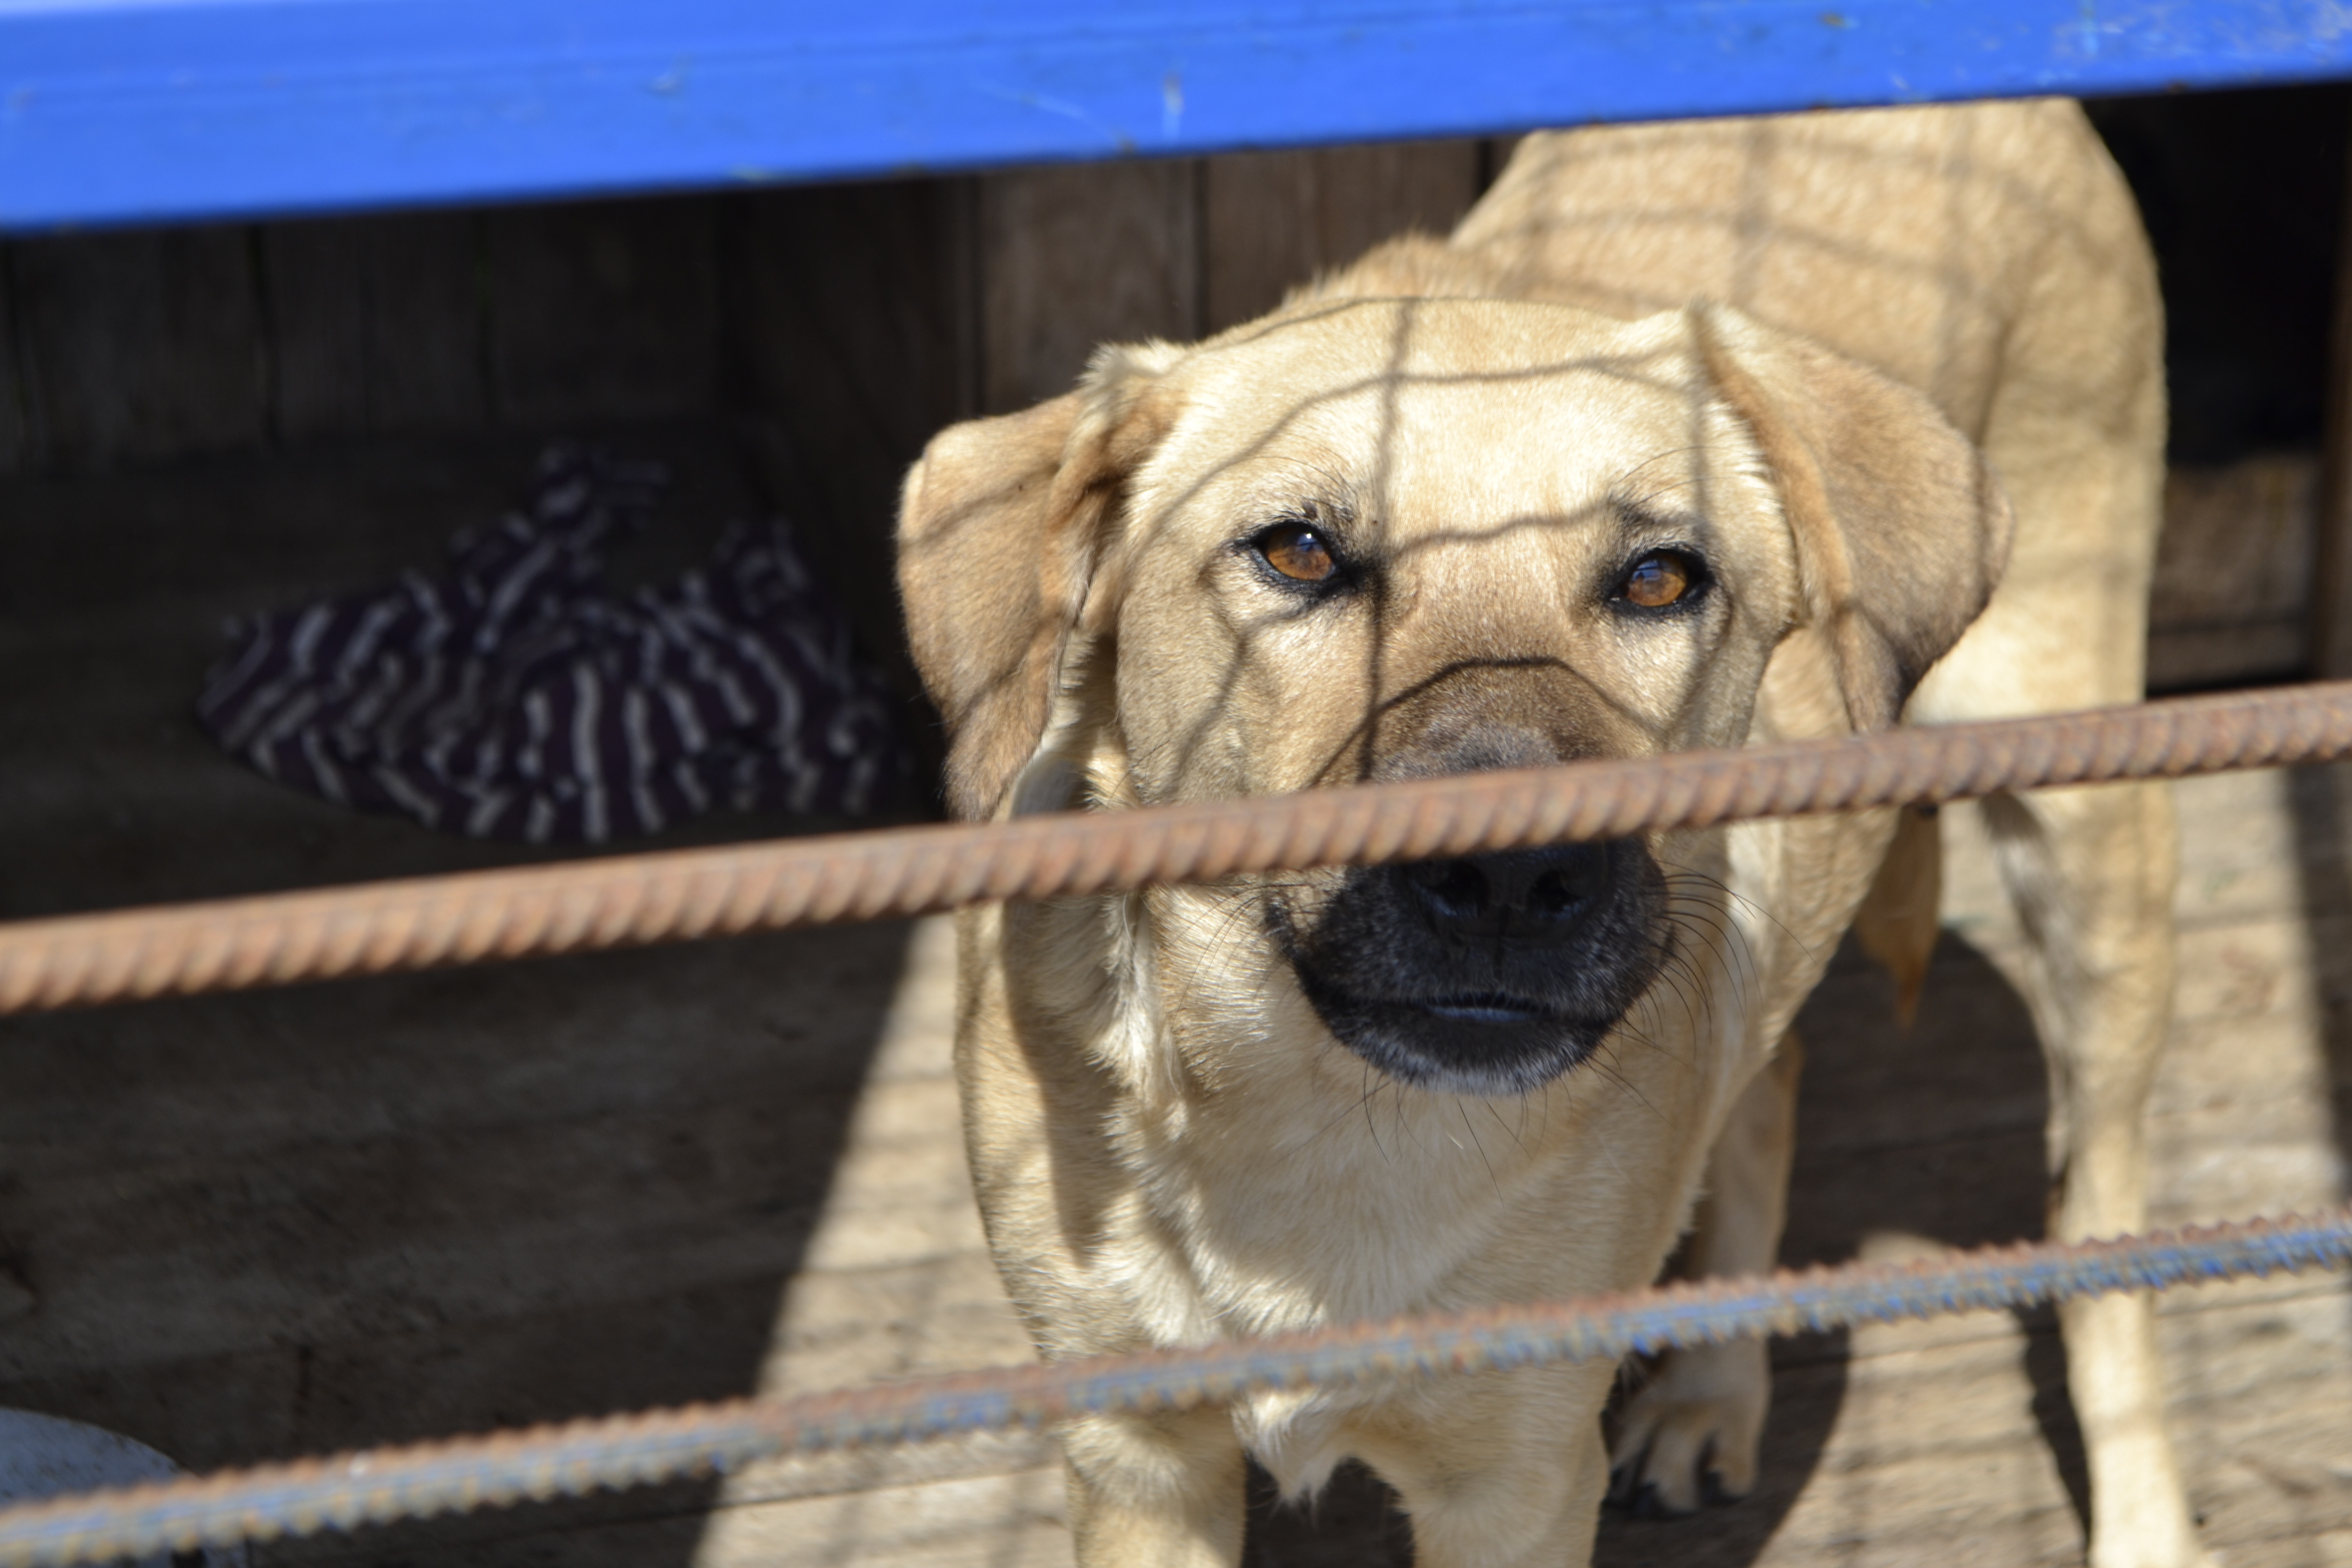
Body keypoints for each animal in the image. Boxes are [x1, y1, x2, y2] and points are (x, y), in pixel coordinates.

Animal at [898, 101, 2183, 1568]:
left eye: (1661, 577)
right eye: (1295, 553)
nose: (1514, 875)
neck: (1319, 1123)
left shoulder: (1515, 1485)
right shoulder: (1138, 1463)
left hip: (2094, 864)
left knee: (2103, 1244)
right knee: (1768, 1083)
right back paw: (1716, 1390)